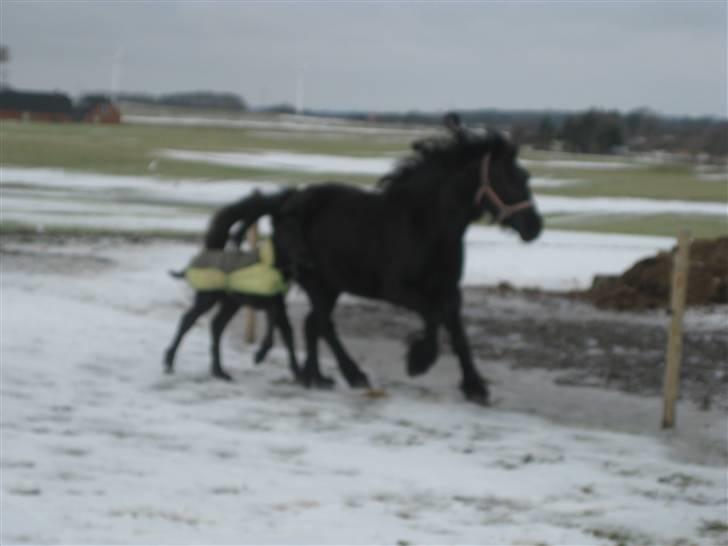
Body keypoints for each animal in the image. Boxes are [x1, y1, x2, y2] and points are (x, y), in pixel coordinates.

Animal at [163, 190, 301, 381]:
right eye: (285, 232)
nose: (301, 256)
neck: (271, 264)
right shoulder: (269, 303)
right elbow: (275, 330)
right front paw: (259, 356)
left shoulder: (277, 303)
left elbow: (287, 333)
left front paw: (298, 373)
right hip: (207, 298)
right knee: (187, 321)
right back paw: (169, 362)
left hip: (231, 303)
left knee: (216, 326)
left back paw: (219, 371)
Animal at [205, 130, 542, 404]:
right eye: (508, 179)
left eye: (525, 177)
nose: (535, 227)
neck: (424, 225)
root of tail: (287, 202)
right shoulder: (399, 290)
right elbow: (433, 316)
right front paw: (418, 361)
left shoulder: (449, 290)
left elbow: (457, 332)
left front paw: (475, 388)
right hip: (317, 281)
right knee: (322, 324)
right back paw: (351, 375)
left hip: (330, 285)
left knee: (314, 324)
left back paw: (318, 377)